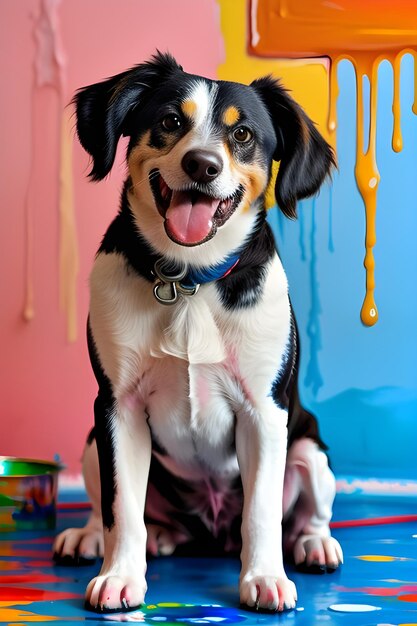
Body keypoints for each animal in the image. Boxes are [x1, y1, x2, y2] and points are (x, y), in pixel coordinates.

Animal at [53, 51, 342, 612]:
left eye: (244, 134)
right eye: (170, 121)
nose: (202, 165)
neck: (189, 279)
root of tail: (211, 532)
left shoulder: (263, 411)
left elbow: (262, 513)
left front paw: (264, 577)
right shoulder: (117, 407)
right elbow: (123, 509)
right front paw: (120, 575)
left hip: (310, 450)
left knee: (306, 511)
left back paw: (313, 543)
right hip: (92, 440)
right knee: (111, 509)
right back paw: (96, 536)